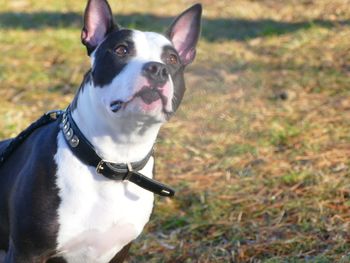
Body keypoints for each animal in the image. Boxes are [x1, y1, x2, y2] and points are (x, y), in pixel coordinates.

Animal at [0, 0, 201, 262]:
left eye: (172, 59)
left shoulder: (119, 251)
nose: (157, 69)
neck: (114, 159)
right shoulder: (27, 252)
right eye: (121, 50)